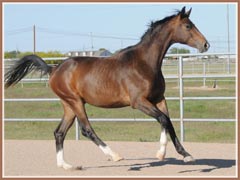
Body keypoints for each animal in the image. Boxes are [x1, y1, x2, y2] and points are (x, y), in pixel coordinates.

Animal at [4, 6, 209, 170]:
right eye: (188, 26)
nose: (206, 44)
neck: (144, 63)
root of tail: (54, 68)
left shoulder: (158, 99)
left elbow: (168, 122)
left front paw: (184, 154)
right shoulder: (139, 102)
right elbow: (163, 119)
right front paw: (163, 154)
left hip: (68, 105)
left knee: (59, 132)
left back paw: (67, 166)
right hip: (76, 102)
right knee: (86, 130)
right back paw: (115, 156)